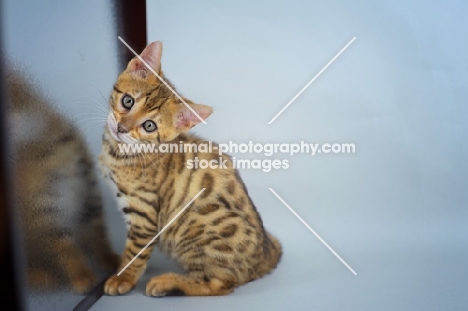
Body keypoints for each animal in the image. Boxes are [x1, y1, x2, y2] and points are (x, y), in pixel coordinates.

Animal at [7, 67, 119, 294]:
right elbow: (65, 249)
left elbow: (98, 235)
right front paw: (82, 276)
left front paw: (108, 259)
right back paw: (39, 276)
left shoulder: (88, 191)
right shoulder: (43, 213)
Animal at [99, 41, 282, 298]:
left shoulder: (144, 213)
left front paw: (122, 278)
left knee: (220, 284)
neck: (118, 151)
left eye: (149, 126)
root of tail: (264, 255)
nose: (122, 128)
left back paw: (167, 282)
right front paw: (117, 265)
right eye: (128, 101)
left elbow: (135, 253)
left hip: (197, 227)